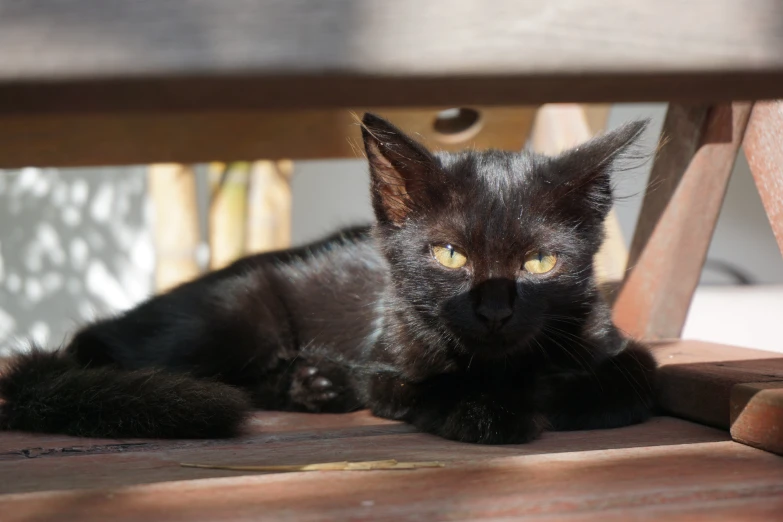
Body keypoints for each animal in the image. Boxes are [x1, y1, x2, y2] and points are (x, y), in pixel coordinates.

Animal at [0, 114, 660, 442]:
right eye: (449, 255)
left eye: (539, 263)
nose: (495, 310)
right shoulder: (385, 360)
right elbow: (424, 387)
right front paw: (486, 411)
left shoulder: (613, 342)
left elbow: (634, 378)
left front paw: (548, 393)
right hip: (238, 312)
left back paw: (313, 383)